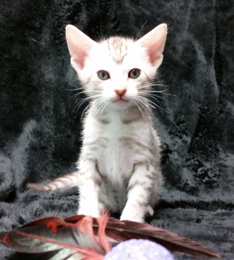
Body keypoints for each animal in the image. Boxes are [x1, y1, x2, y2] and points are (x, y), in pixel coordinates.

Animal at [27, 24, 167, 222]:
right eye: (103, 75)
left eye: (134, 73)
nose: (120, 90)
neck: (117, 119)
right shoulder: (88, 157)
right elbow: (87, 190)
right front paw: (87, 215)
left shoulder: (144, 160)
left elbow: (137, 196)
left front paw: (131, 220)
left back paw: (146, 209)